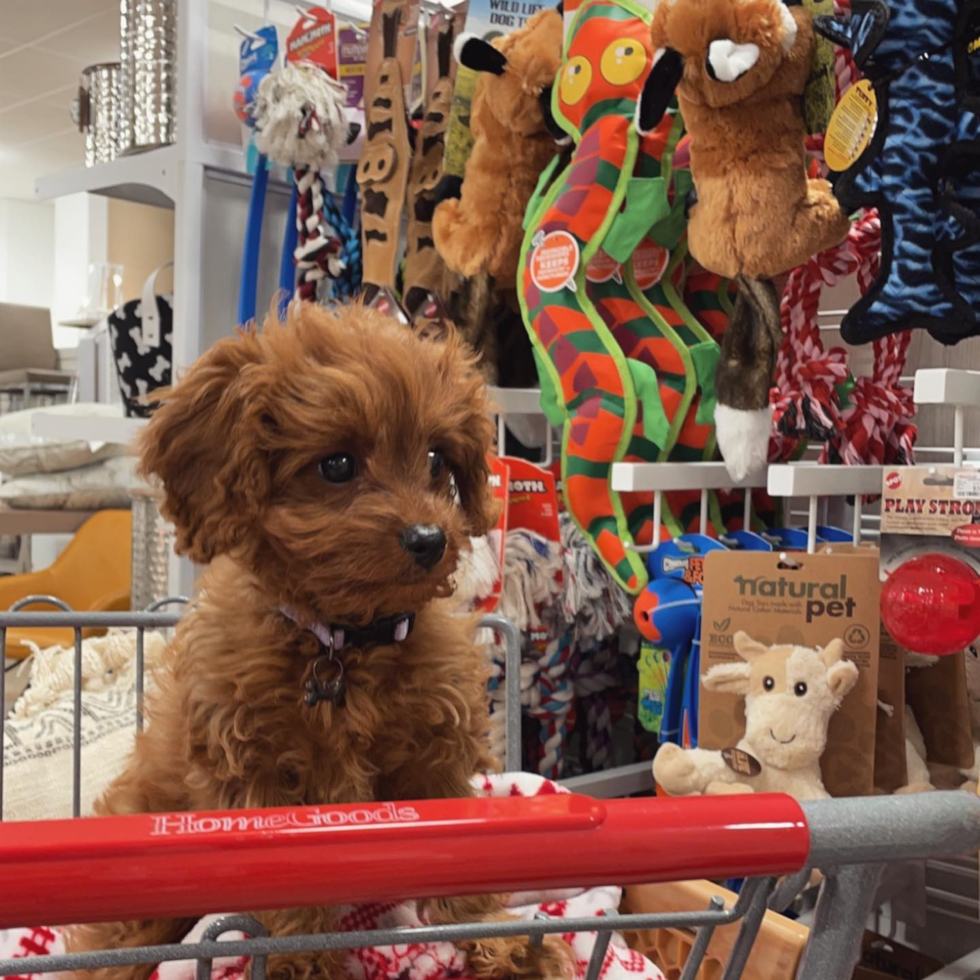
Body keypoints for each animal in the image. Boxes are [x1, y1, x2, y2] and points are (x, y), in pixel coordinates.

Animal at [65, 304, 572, 980]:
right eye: (336, 466)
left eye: (436, 458)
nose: (430, 539)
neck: (345, 641)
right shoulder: (252, 775)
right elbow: (284, 895)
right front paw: (299, 962)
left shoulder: (434, 763)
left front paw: (500, 938)